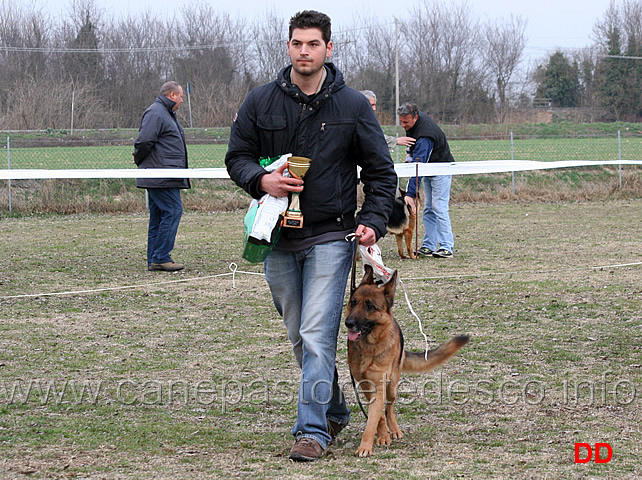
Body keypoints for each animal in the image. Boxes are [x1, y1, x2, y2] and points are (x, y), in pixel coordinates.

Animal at [342, 266, 468, 458]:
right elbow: (376, 416)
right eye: (353, 302)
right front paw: (381, 435)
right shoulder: (365, 385)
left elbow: (375, 417)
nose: (348, 323)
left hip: (392, 385)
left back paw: (394, 429)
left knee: (390, 407)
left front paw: (367, 445)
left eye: (370, 306)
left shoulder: (379, 385)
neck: (369, 348)